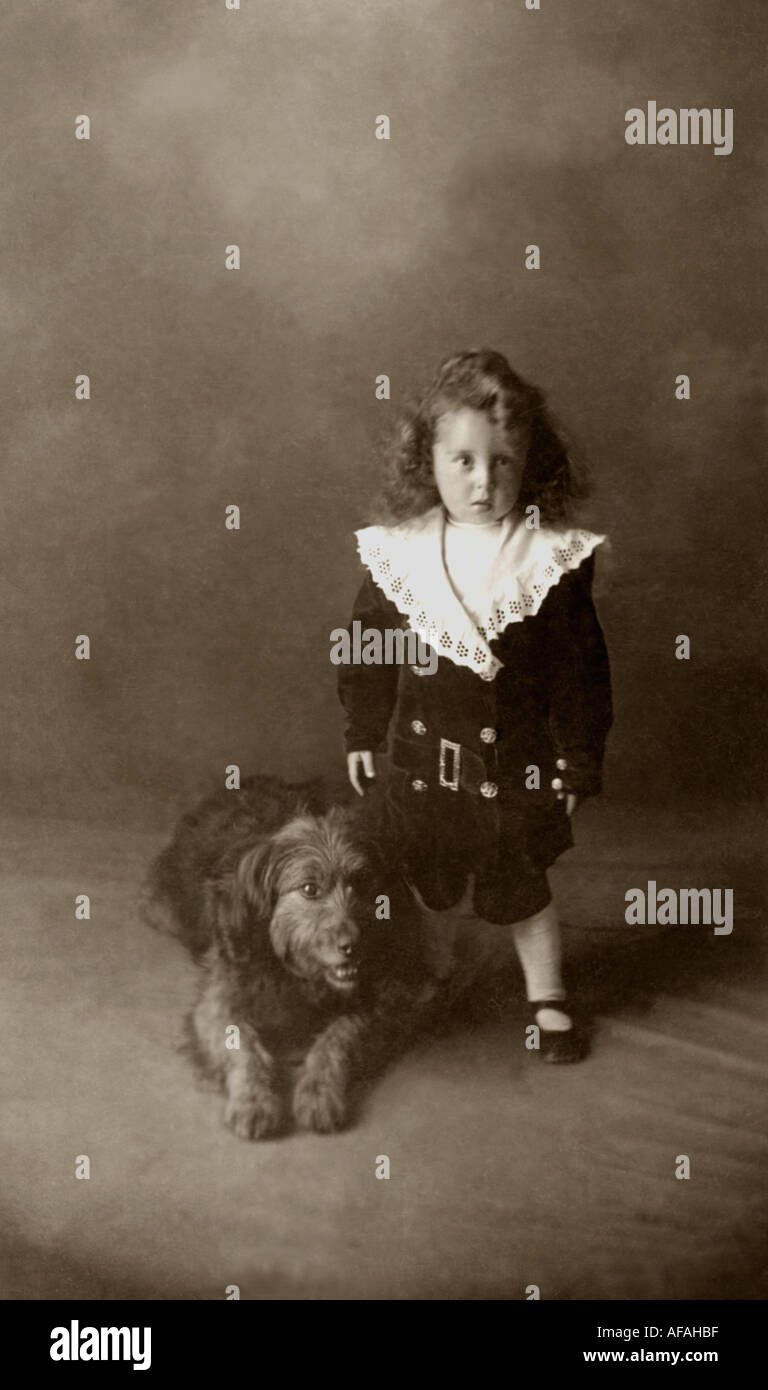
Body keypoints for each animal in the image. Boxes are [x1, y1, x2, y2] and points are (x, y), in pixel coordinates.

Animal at [145, 778, 424, 1134]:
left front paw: (318, 1092)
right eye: (309, 889)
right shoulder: (220, 997)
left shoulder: (391, 998)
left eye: (361, 882)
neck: (296, 975)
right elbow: (242, 1045)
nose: (354, 945)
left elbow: (338, 1037)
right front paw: (253, 1100)